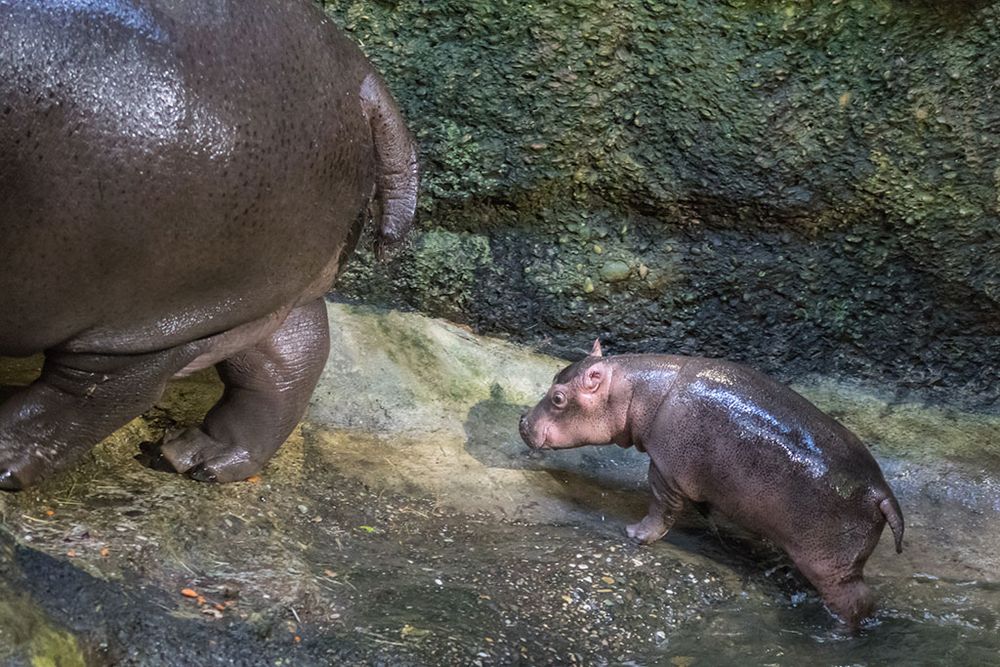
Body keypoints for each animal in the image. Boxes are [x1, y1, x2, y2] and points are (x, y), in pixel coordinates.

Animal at [0, 0, 418, 490]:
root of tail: (360, 74)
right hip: (255, 286)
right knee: (289, 357)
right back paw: (199, 459)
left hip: (141, 308)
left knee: (98, 388)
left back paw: (9, 454)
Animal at [520, 342, 904, 628]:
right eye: (554, 376)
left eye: (558, 397)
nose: (522, 421)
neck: (637, 391)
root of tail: (880, 492)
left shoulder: (665, 469)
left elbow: (661, 508)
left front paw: (636, 534)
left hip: (832, 569)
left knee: (858, 604)